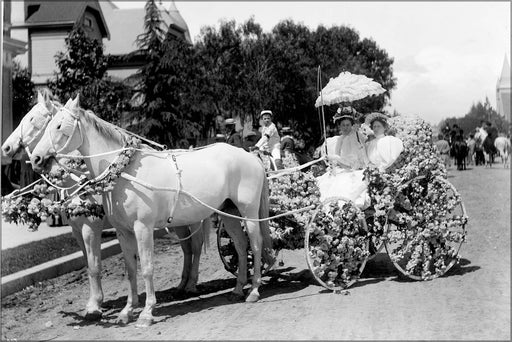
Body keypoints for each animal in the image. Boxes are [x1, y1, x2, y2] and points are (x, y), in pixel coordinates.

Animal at [29, 97, 274, 328]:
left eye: (59, 125)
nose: (36, 159)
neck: (125, 170)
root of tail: (251, 156)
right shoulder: (123, 232)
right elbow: (130, 269)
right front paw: (126, 311)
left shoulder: (142, 228)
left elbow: (146, 267)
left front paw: (146, 313)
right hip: (227, 212)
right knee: (240, 247)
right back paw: (238, 289)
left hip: (249, 212)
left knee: (255, 244)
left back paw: (253, 290)